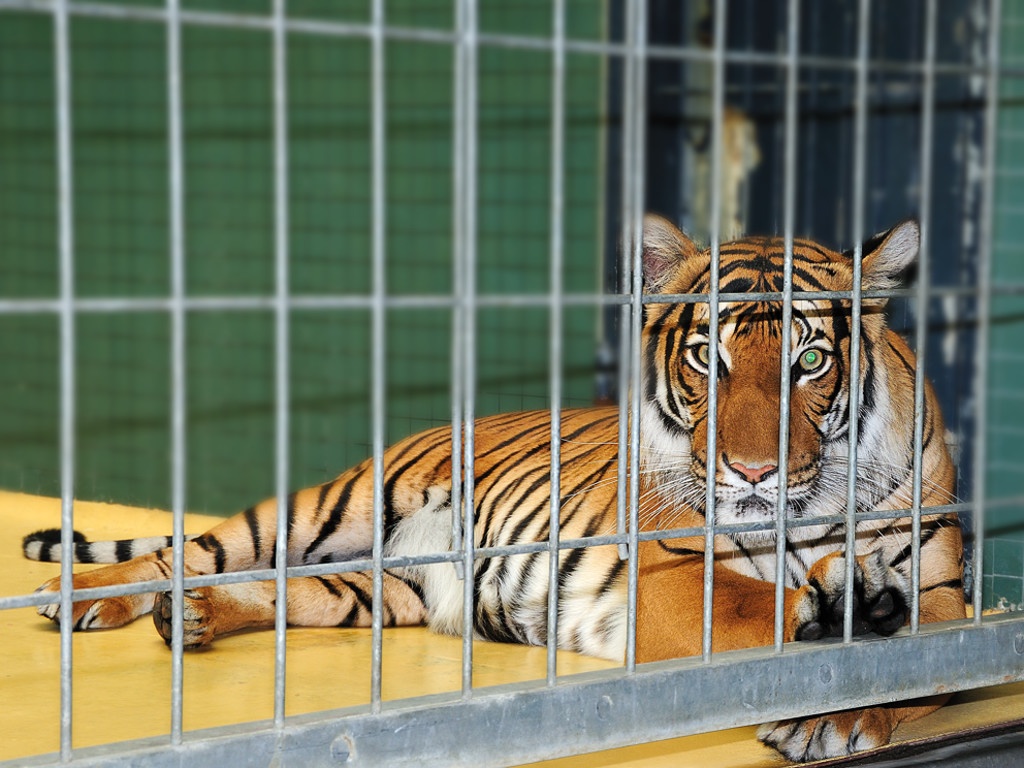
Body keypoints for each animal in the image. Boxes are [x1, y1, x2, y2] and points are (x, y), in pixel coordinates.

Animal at [25, 217, 966, 765]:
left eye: (810, 360)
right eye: (710, 358)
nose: (753, 470)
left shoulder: (946, 592)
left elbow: (926, 654)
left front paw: (842, 698)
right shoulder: (669, 577)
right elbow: (760, 610)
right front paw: (822, 652)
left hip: (378, 588)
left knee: (284, 594)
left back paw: (190, 620)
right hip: (325, 508)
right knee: (188, 554)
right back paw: (84, 596)